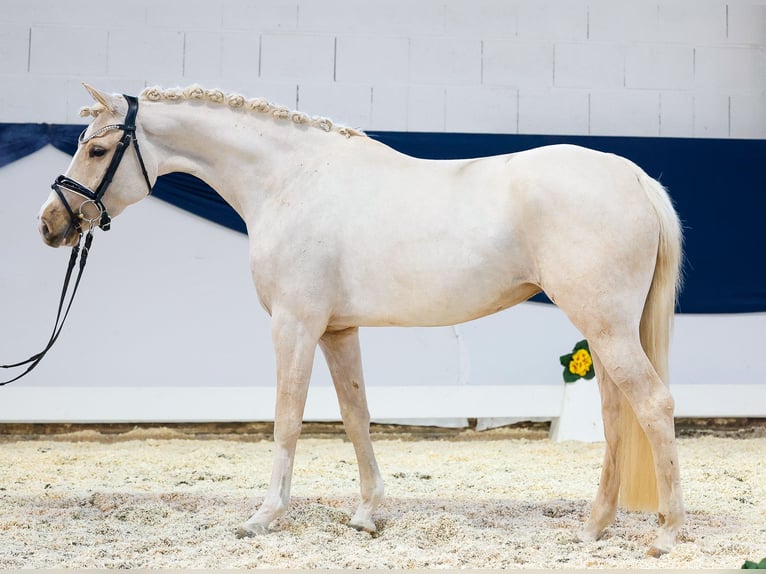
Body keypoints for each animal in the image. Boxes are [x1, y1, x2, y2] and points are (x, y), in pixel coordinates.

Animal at [37, 85, 684, 560]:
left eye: (97, 151)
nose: (50, 224)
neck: (290, 180)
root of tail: (634, 178)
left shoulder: (294, 325)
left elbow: (287, 420)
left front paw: (264, 517)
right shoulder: (336, 330)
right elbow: (356, 417)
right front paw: (368, 514)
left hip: (604, 325)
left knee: (652, 406)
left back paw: (666, 533)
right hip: (603, 328)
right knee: (616, 416)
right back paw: (594, 526)